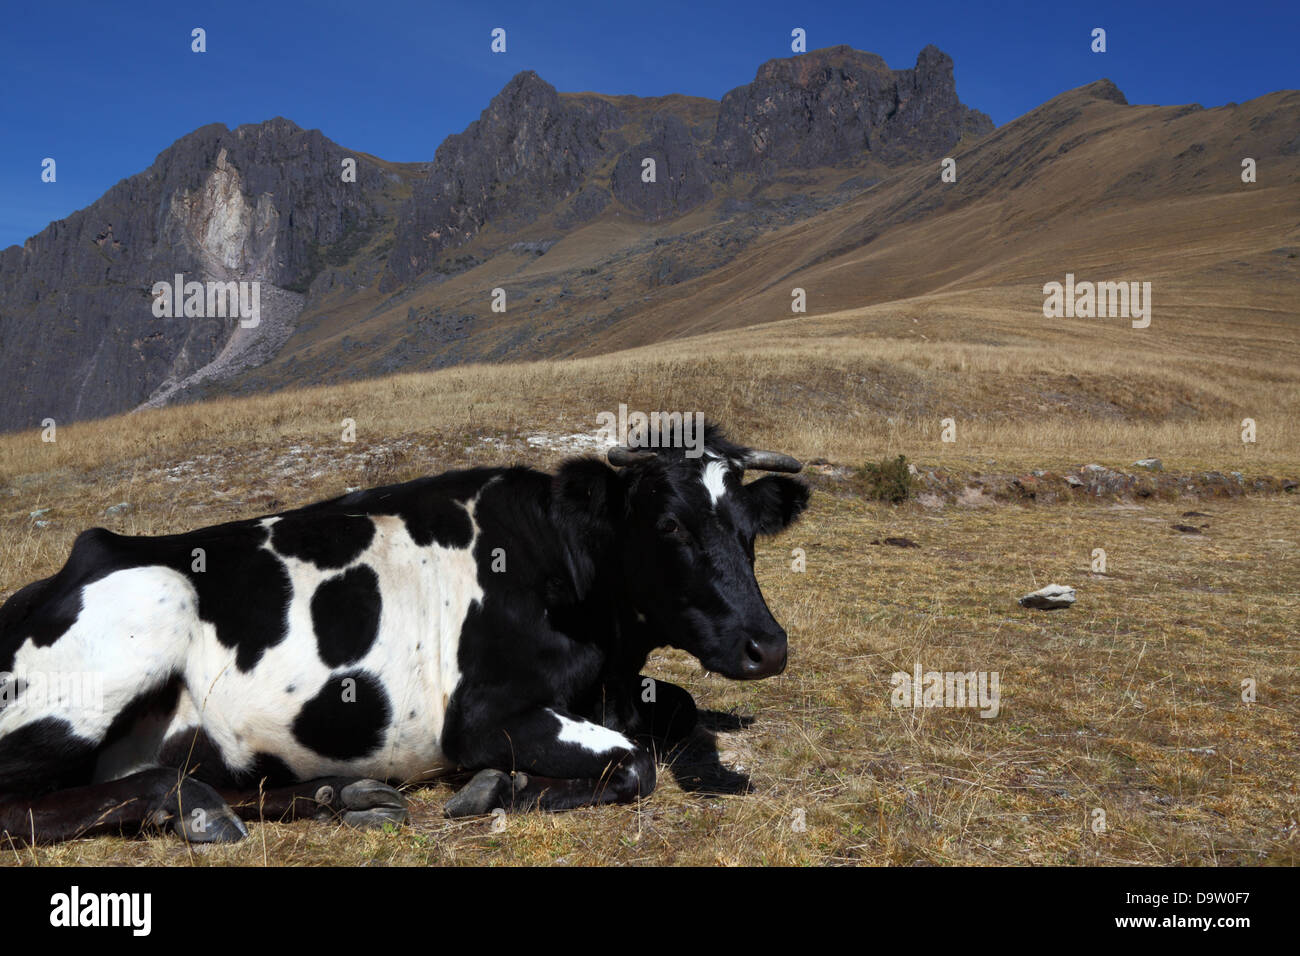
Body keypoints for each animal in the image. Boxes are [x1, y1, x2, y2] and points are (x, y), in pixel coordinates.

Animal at [0, 422, 808, 845]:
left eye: (750, 528)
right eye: (668, 524)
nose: (768, 646)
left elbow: (678, 708)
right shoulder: (479, 716)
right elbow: (633, 762)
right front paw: (501, 788)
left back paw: (339, 797)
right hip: (146, 611)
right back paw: (189, 804)